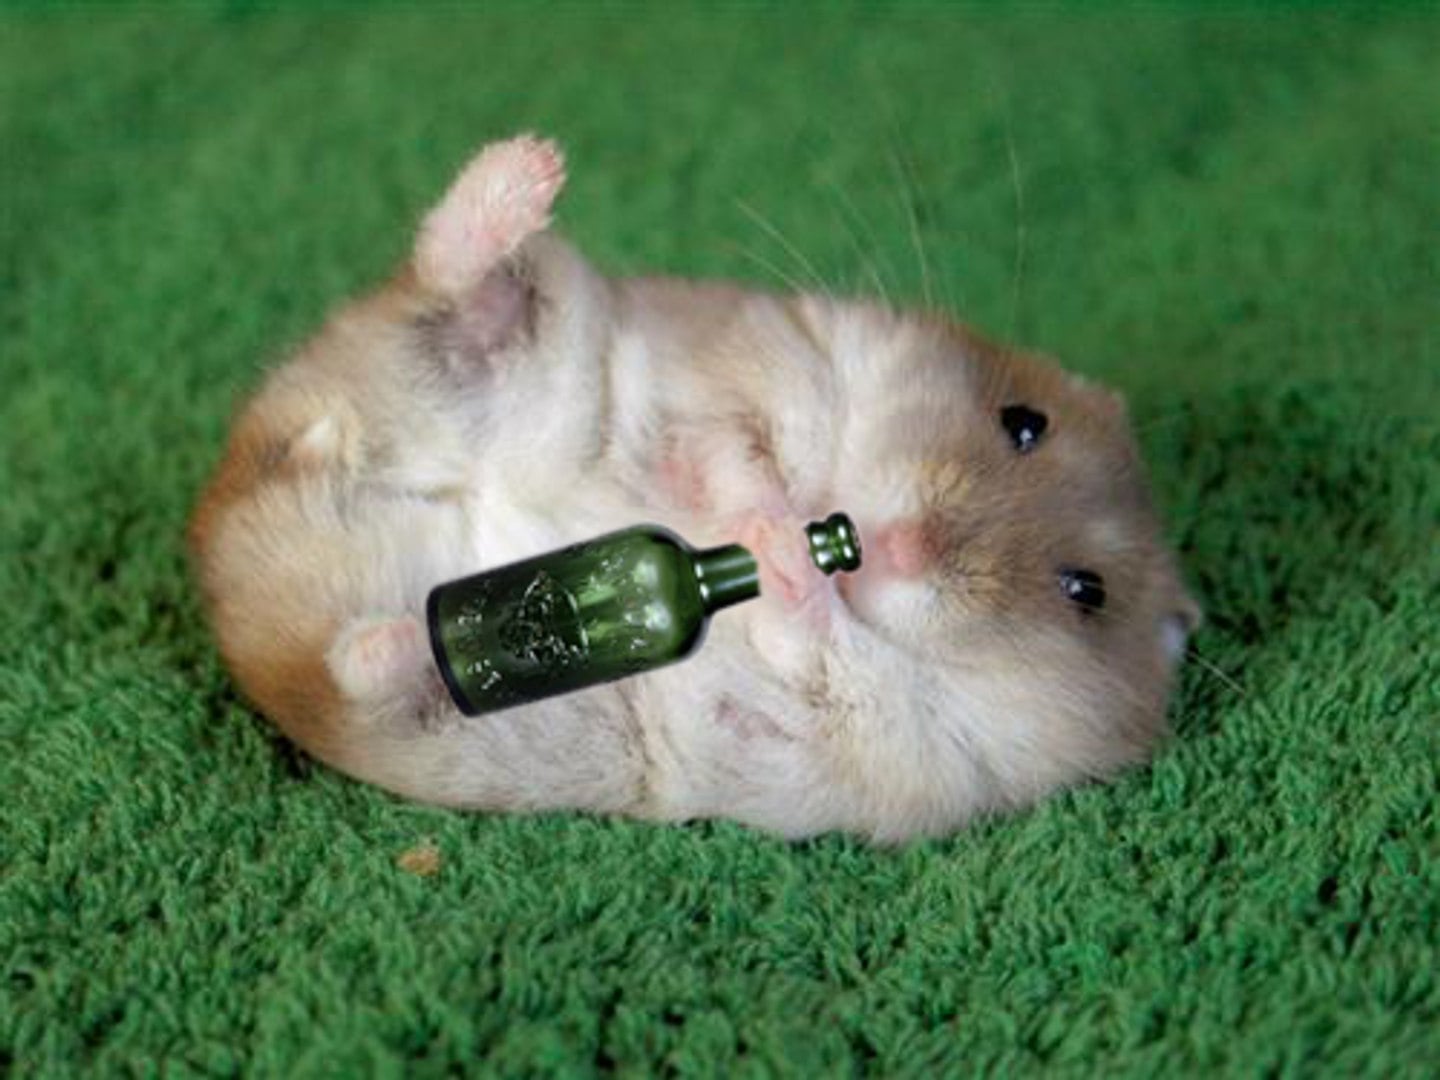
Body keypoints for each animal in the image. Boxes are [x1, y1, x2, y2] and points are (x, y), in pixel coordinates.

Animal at [189, 135, 1198, 842]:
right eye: (1022, 421)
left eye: (1085, 591)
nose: (894, 545)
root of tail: (232, 526)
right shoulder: (765, 359)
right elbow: (735, 449)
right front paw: (763, 514)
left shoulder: (903, 740)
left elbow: (810, 639)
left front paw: (779, 549)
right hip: (510, 348)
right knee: (453, 281)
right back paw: (527, 171)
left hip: (419, 717)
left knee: (361, 669)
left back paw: (425, 637)